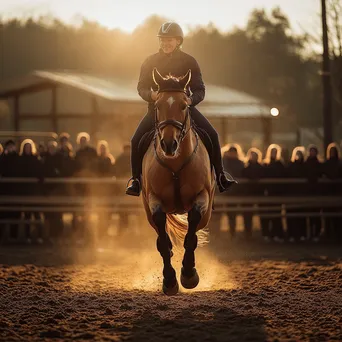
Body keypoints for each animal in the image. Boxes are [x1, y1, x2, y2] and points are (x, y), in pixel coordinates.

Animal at [140, 68, 215, 296]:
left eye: (184, 105)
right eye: (158, 105)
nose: (168, 144)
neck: (175, 164)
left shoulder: (202, 197)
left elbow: (191, 234)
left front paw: (189, 275)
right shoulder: (154, 201)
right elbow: (163, 241)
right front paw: (170, 280)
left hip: (206, 214)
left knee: (194, 231)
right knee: (161, 235)